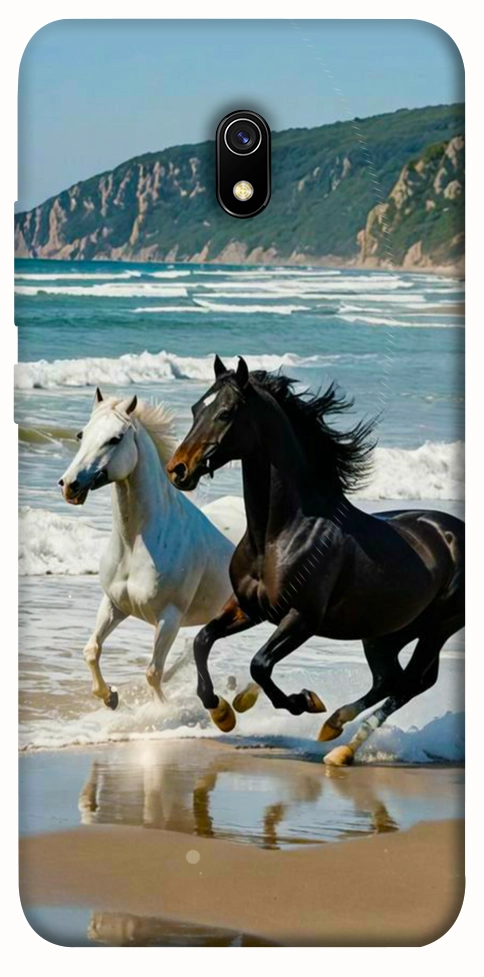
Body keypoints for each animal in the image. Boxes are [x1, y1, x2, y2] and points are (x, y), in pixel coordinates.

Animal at [59, 387, 234, 709]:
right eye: (81, 434)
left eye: (115, 438)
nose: (70, 485)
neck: (135, 544)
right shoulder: (114, 604)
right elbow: (91, 650)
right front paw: (110, 697)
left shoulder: (169, 618)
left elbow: (153, 672)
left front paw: (161, 711)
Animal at [166, 356, 464, 765]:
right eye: (197, 408)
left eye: (226, 412)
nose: (177, 469)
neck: (280, 534)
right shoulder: (248, 608)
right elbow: (202, 640)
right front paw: (223, 711)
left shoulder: (302, 618)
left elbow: (260, 664)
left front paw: (303, 701)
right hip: (386, 632)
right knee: (390, 679)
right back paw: (334, 729)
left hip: (437, 628)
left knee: (410, 683)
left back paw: (340, 746)